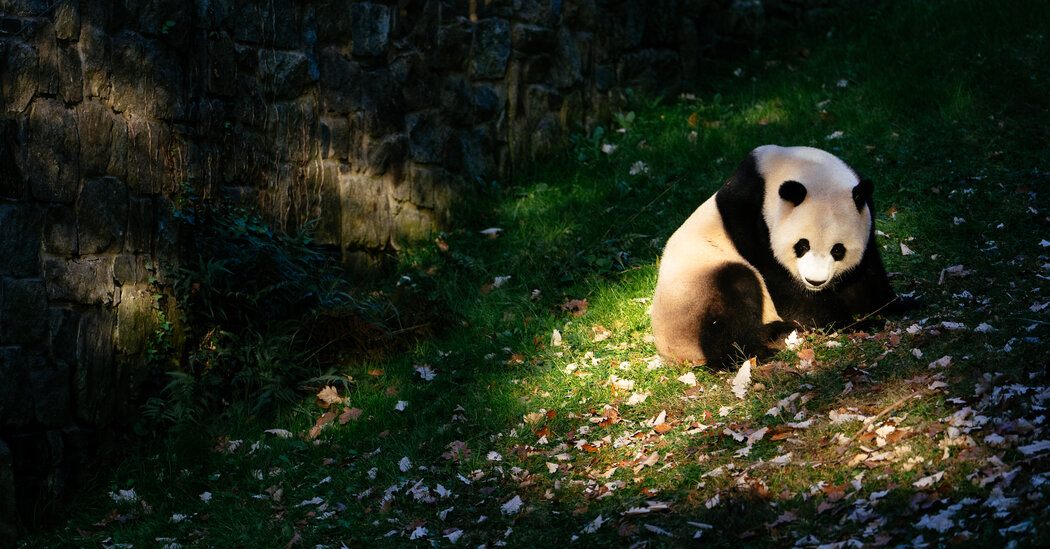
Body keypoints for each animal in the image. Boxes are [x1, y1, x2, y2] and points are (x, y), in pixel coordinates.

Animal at [646, 145, 902, 369]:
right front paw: (852, 321)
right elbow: (785, 289)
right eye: (802, 245)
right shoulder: (751, 224)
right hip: (691, 291)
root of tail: (673, 355)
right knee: (732, 291)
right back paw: (757, 350)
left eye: (838, 250)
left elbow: (865, 273)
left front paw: (893, 306)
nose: (815, 281)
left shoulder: (866, 215)